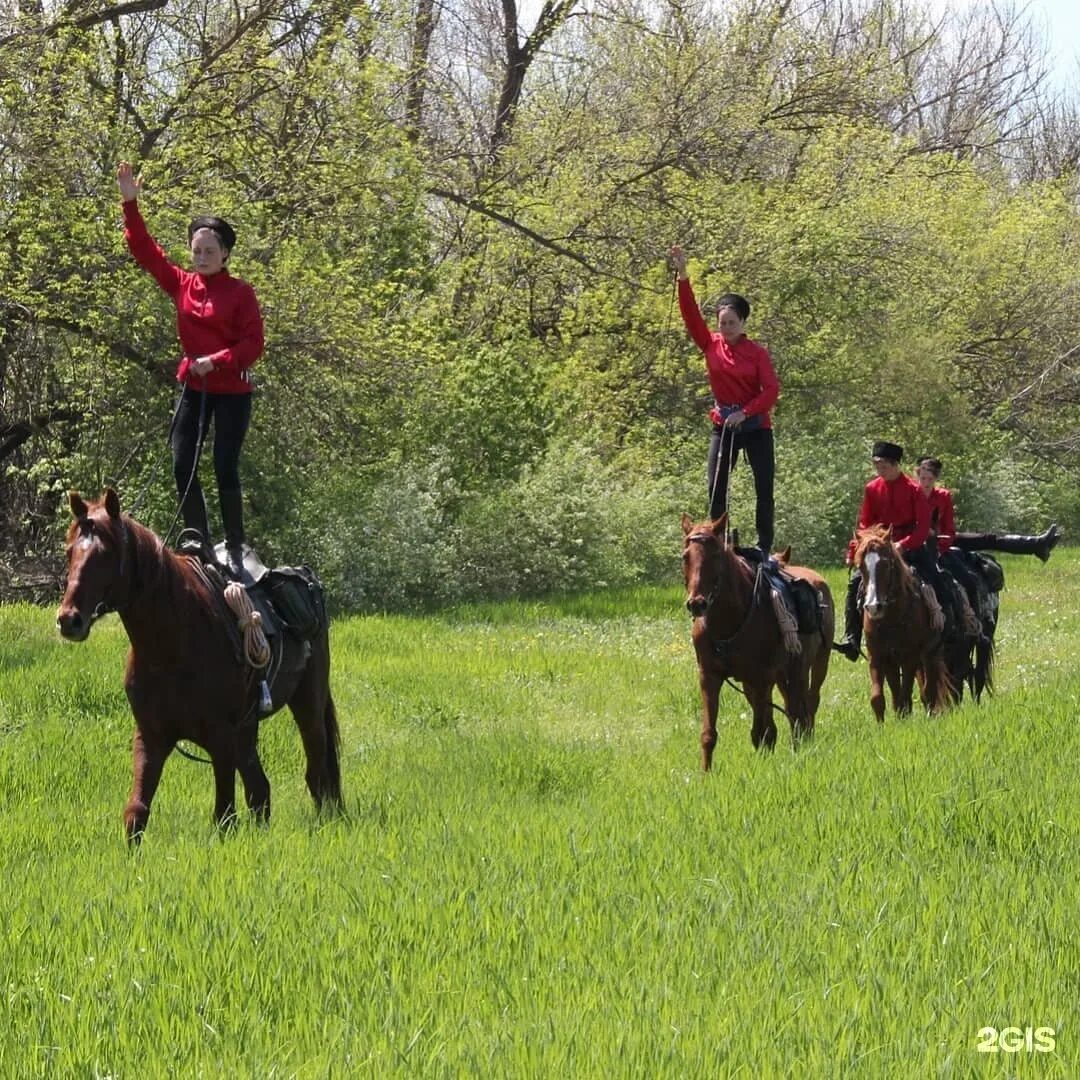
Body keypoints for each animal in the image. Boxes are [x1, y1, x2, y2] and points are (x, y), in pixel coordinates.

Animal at [55, 490, 341, 842]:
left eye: (106, 553)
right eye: (69, 551)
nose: (69, 620)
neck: (170, 647)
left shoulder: (221, 739)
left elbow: (224, 816)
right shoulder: (151, 737)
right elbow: (136, 814)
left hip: (307, 704)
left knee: (316, 772)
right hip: (247, 731)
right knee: (260, 790)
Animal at [682, 511, 833, 768]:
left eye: (715, 555)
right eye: (685, 556)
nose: (696, 603)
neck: (728, 619)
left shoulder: (761, 678)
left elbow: (763, 731)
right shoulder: (711, 677)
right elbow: (709, 733)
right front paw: (705, 772)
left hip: (812, 666)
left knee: (805, 706)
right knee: (794, 710)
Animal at [851, 524, 954, 721]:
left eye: (886, 564)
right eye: (860, 565)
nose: (873, 607)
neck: (891, 618)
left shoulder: (909, 657)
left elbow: (906, 696)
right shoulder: (879, 657)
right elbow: (879, 698)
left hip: (931, 653)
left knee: (929, 690)